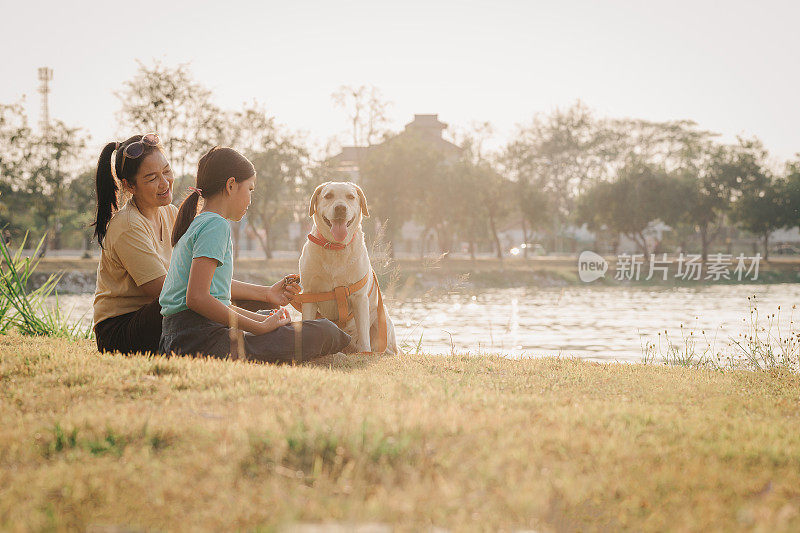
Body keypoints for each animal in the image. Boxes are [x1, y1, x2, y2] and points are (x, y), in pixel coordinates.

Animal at [298, 182, 398, 354]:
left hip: (382, 320)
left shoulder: (359, 298)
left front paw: (365, 352)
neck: (336, 247)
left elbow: (364, 335)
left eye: (350, 197)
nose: (340, 208)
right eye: (328, 195)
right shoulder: (309, 294)